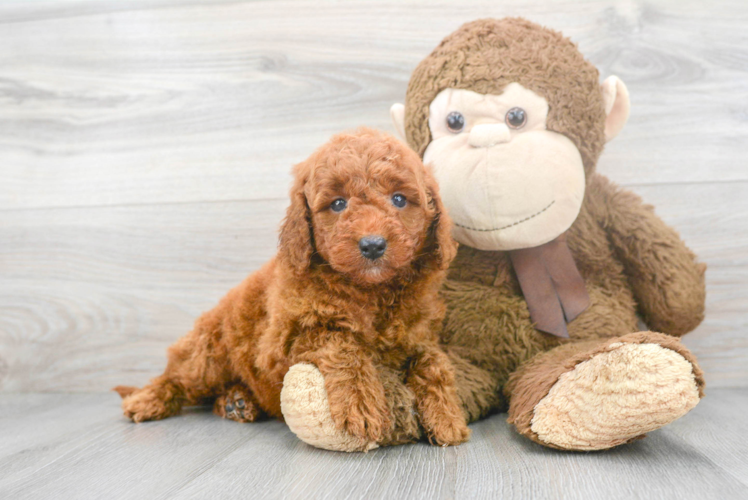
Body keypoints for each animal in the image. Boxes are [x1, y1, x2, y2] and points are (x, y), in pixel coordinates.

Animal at [114, 128, 470, 446]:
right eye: (338, 204)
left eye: (399, 199)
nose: (372, 245)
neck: (371, 291)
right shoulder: (281, 343)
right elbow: (342, 342)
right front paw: (362, 403)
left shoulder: (420, 337)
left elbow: (434, 364)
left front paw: (447, 415)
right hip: (208, 355)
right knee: (177, 377)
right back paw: (147, 400)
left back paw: (236, 402)